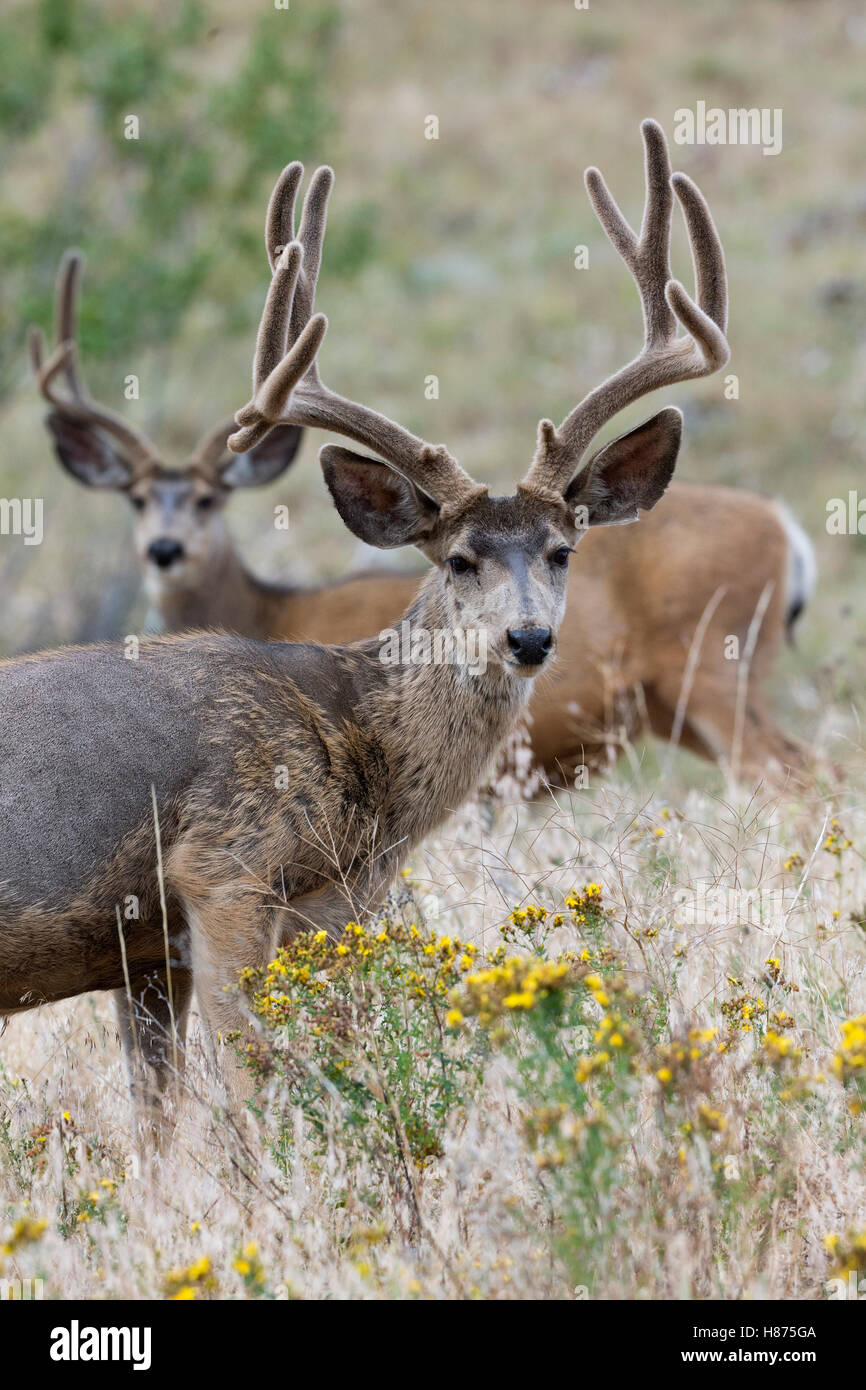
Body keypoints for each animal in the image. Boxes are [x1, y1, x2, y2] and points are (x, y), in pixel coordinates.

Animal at [3, 119, 733, 1134]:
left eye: (562, 551)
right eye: (458, 558)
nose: (528, 640)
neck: (360, 747)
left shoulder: (174, 946)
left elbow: (161, 1120)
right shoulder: (223, 868)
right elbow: (248, 1088)